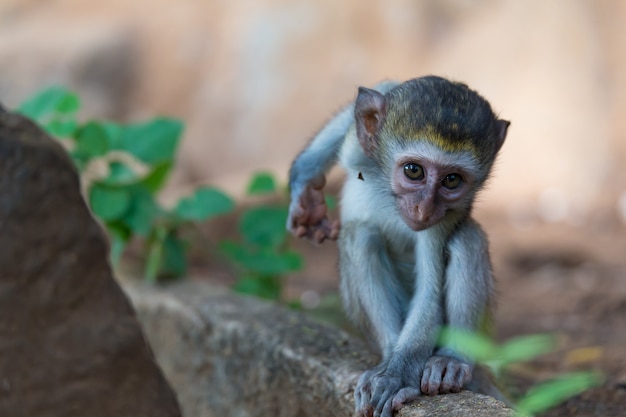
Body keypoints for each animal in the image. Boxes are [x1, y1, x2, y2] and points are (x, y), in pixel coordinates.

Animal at [288, 75, 508, 416]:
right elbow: (369, 100)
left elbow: (430, 287)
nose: (424, 209)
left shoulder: (444, 218)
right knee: (359, 236)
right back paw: (391, 353)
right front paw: (305, 187)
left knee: (466, 239)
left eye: (452, 180)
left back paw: (450, 360)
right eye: (413, 171)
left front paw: (396, 377)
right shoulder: (359, 147)